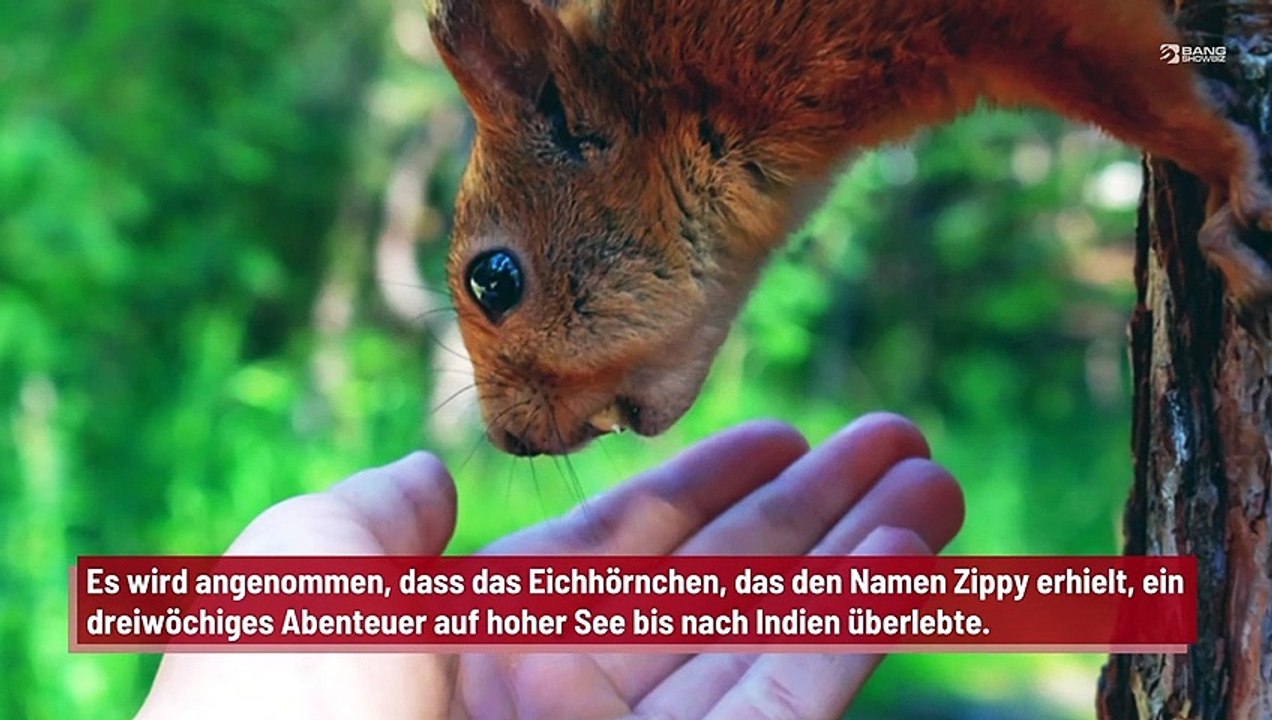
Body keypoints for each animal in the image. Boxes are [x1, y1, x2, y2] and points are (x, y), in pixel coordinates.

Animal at [427, 0, 1272, 456]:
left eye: (493, 280)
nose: (505, 439)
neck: (691, 71)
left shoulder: (1032, 23)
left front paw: (1233, 183)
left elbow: (1153, 100)